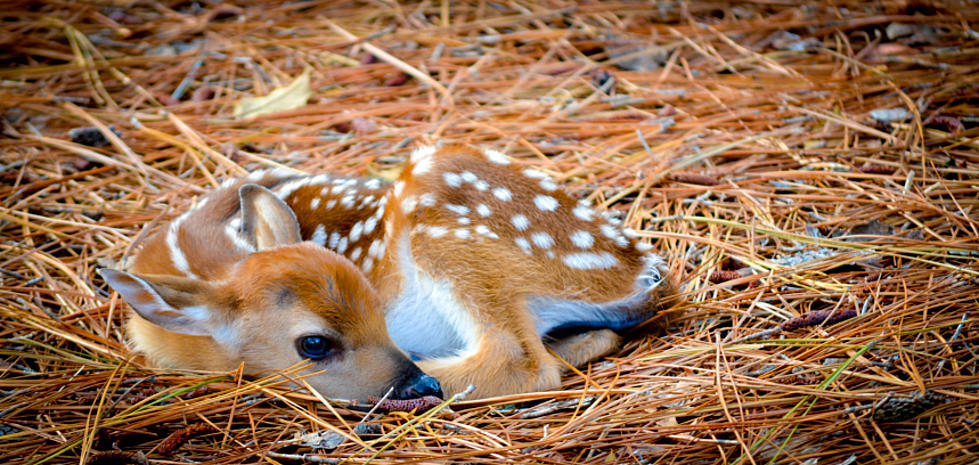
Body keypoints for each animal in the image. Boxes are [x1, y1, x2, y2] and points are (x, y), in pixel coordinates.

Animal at [105, 145, 672, 398]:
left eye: (379, 306)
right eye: (314, 344)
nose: (410, 381)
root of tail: (640, 268)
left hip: (444, 217)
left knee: (523, 362)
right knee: (587, 340)